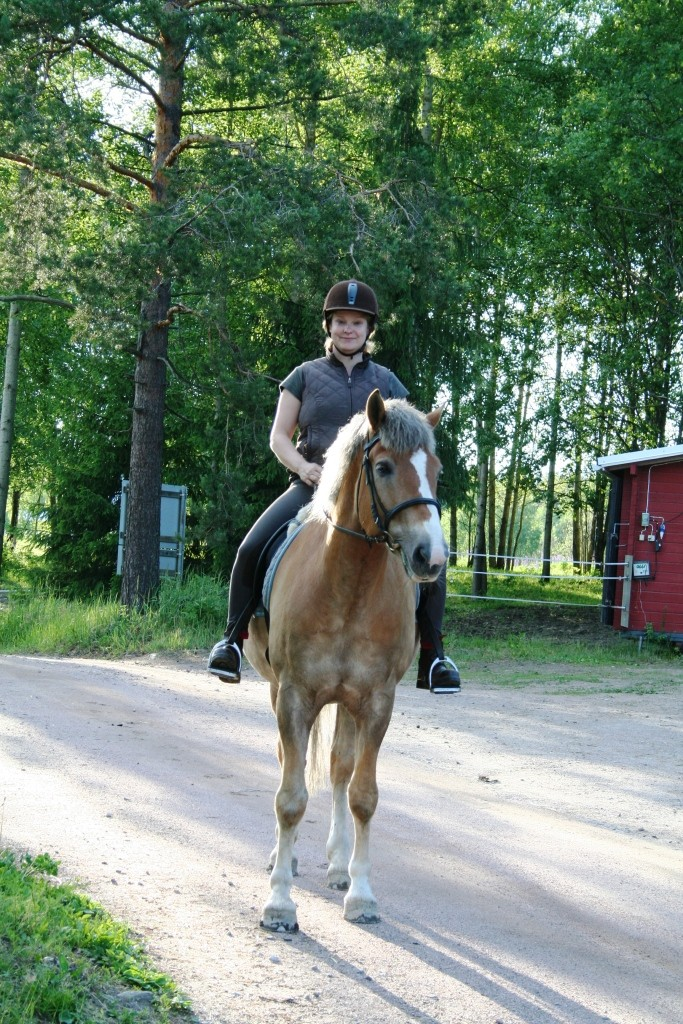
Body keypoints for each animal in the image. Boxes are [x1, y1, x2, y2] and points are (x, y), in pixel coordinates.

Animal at [244, 385, 448, 929]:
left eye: (436, 469)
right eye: (383, 467)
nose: (431, 557)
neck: (348, 587)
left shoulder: (375, 702)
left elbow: (362, 795)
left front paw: (361, 895)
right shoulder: (294, 695)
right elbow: (290, 798)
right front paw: (279, 902)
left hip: (346, 702)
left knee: (339, 768)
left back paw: (337, 866)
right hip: (279, 689)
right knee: (289, 764)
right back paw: (286, 859)